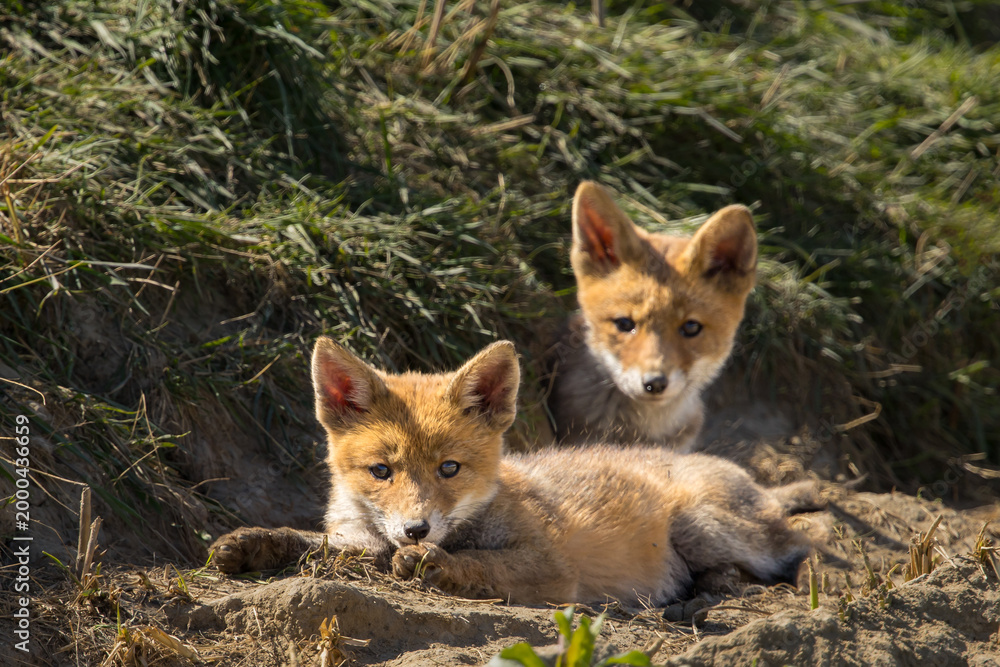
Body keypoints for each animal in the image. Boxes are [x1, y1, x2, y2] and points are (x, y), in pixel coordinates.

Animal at [211, 337, 819, 606]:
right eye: (381, 470)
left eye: (449, 468)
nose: (416, 529)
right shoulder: (360, 542)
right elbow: (308, 542)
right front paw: (254, 542)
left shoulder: (552, 569)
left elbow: (483, 564)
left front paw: (437, 564)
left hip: (703, 527)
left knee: (803, 540)